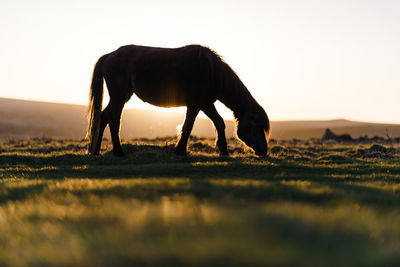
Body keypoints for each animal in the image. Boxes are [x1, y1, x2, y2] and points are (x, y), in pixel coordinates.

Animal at [86, 44, 270, 157]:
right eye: (257, 126)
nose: (264, 151)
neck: (211, 71)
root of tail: (109, 56)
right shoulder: (198, 104)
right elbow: (188, 126)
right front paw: (180, 150)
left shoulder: (204, 103)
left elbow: (218, 123)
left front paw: (223, 150)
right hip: (119, 96)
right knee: (114, 121)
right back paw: (118, 152)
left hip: (121, 96)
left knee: (104, 117)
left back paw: (96, 151)